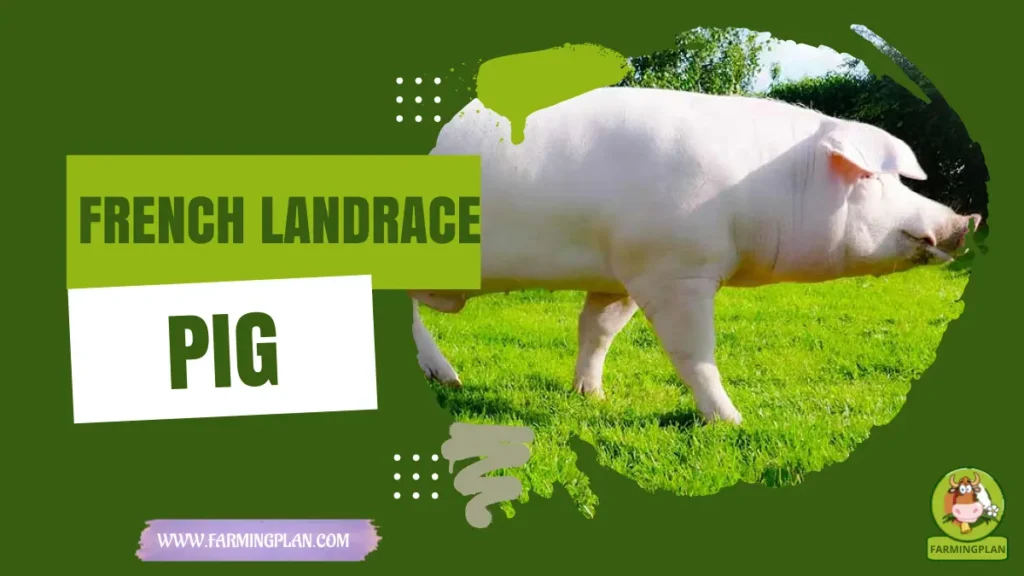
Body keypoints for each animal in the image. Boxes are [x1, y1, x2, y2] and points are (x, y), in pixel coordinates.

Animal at [410, 86, 981, 425]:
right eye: (867, 176)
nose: (963, 222)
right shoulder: (673, 270)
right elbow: (693, 352)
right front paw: (732, 421)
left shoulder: (620, 273)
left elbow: (597, 331)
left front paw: (592, 397)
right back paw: (448, 380)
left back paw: (450, 381)